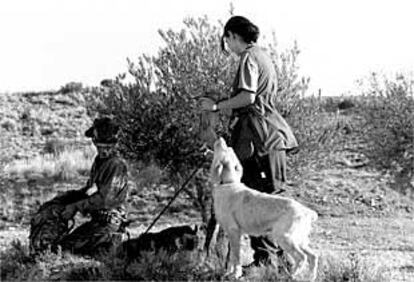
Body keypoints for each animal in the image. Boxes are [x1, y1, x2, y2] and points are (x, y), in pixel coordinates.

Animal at [209, 138, 318, 280]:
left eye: (225, 149)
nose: (221, 139)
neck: (228, 183)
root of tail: (307, 212)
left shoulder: (234, 231)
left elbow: (236, 257)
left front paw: (235, 274)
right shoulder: (233, 233)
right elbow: (232, 256)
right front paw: (229, 272)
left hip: (285, 237)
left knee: (301, 257)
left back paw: (291, 275)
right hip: (300, 239)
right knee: (313, 256)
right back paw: (310, 277)